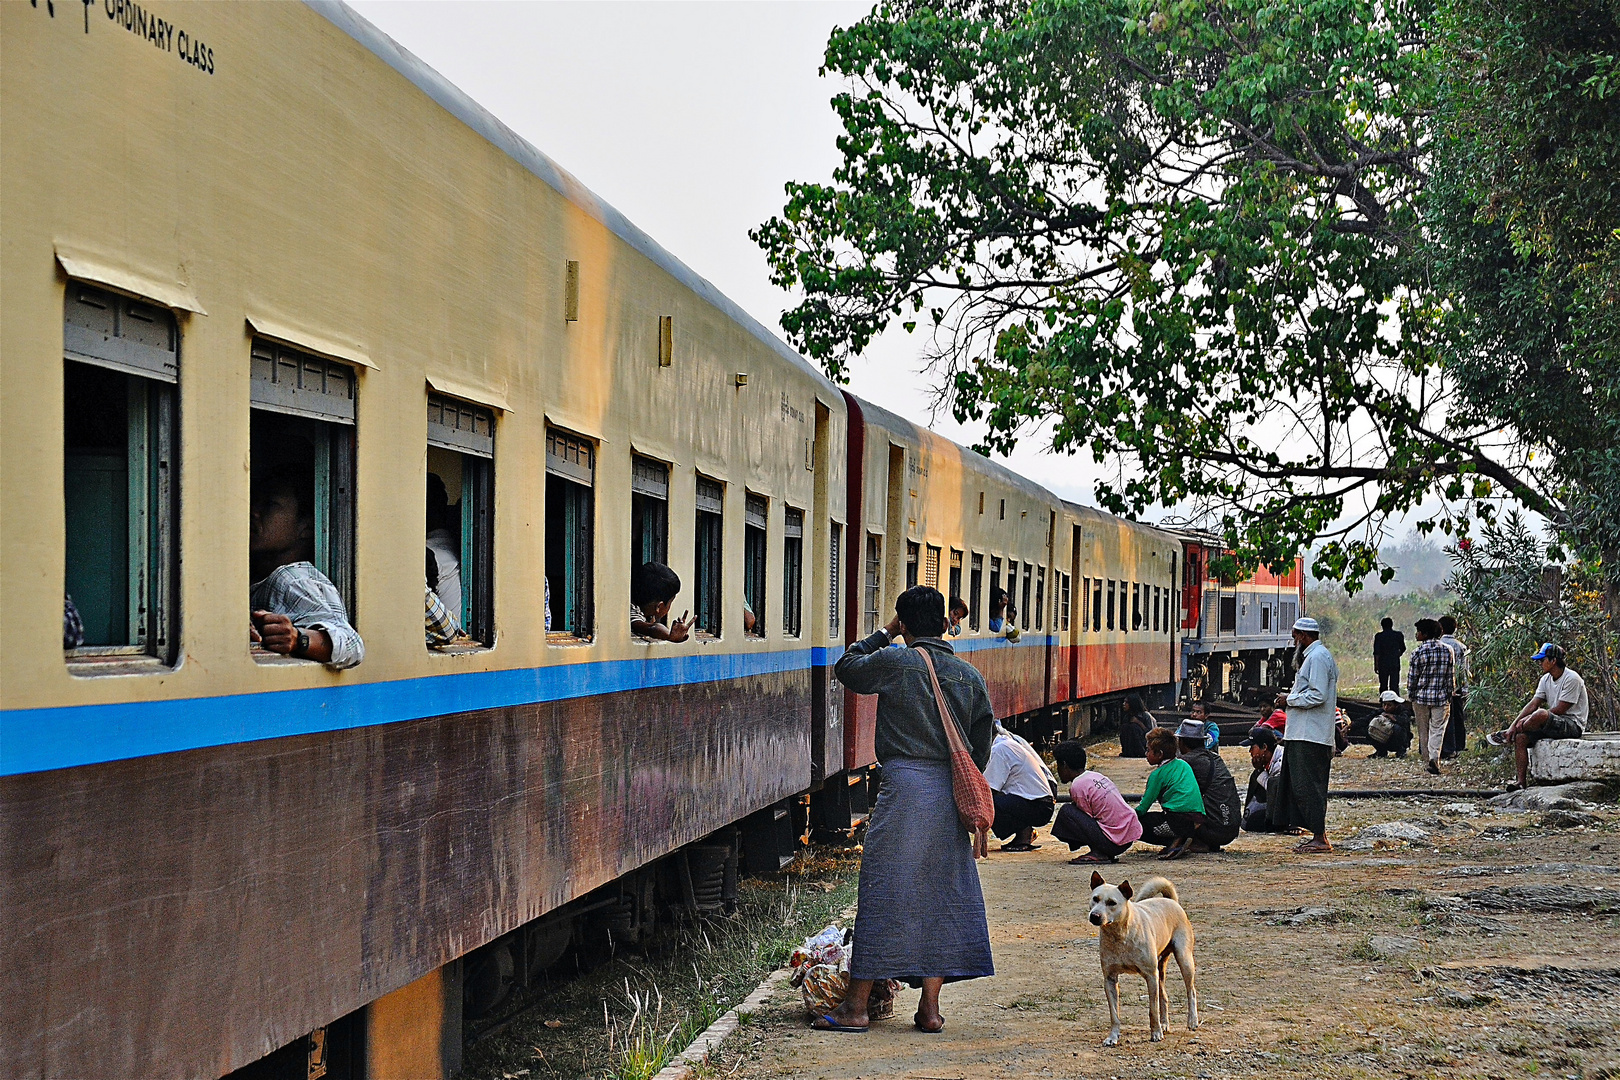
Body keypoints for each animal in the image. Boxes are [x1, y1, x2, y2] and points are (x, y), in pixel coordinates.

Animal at [1082, 867, 1198, 1049]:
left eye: (1112, 903)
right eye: (1095, 899)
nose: (1094, 915)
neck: (1120, 935)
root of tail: (1172, 901)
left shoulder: (1150, 976)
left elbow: (1152, 1009)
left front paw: (1156, 1033)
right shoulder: (1110, 979)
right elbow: (1114, 1014)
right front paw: (1113, 1037)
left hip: (1183, 959)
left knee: (1191, 991)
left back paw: (1192, 1021)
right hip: (1160, 969)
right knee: (1164, 996)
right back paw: (1165, 1024)